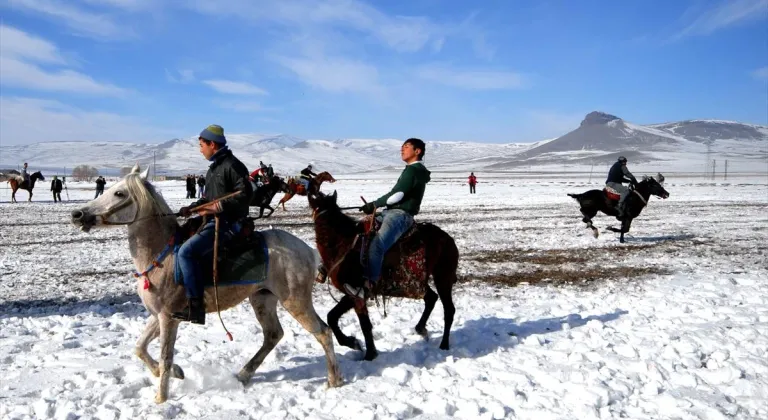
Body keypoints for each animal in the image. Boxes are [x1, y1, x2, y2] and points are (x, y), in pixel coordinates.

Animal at [70, 164, 342, 404]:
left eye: (119, 193)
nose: (77, 215)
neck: (162, 255)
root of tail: (308, 251)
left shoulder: (169, 318)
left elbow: (165, 356)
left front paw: (161, 398)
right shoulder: (158, 315)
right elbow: (139, 348)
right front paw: (174, 372)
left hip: (295, 301)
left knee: (323, 333)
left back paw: (334, 380)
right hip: (263, 298)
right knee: (273, 334)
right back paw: (243, 374)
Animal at [308, 190, 460, 360]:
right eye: (319, 216)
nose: (325, 241)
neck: (343, 248)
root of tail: (448, 239)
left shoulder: (358, 292)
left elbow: (364, 324)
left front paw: (370, 355)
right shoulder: (351, 293)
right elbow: (332, 316)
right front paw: (352, 343)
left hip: (443, 277)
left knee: (449, 310)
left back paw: (444, 345)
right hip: (418, 283)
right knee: (431, 298)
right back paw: (420, 328)